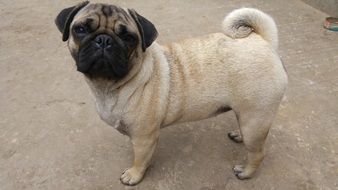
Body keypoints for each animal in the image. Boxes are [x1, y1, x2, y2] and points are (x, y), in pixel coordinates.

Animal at [55, 1, 288, 186]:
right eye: (81, 29)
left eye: (128, 37)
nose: (103, 40)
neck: (111, 86)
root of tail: (264, 41)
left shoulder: (144, 138)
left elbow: (140, 159)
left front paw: (134, 175)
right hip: (248, 117)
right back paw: (238, 135)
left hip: (255, 118)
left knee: (258, 152)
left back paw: (246, 172)